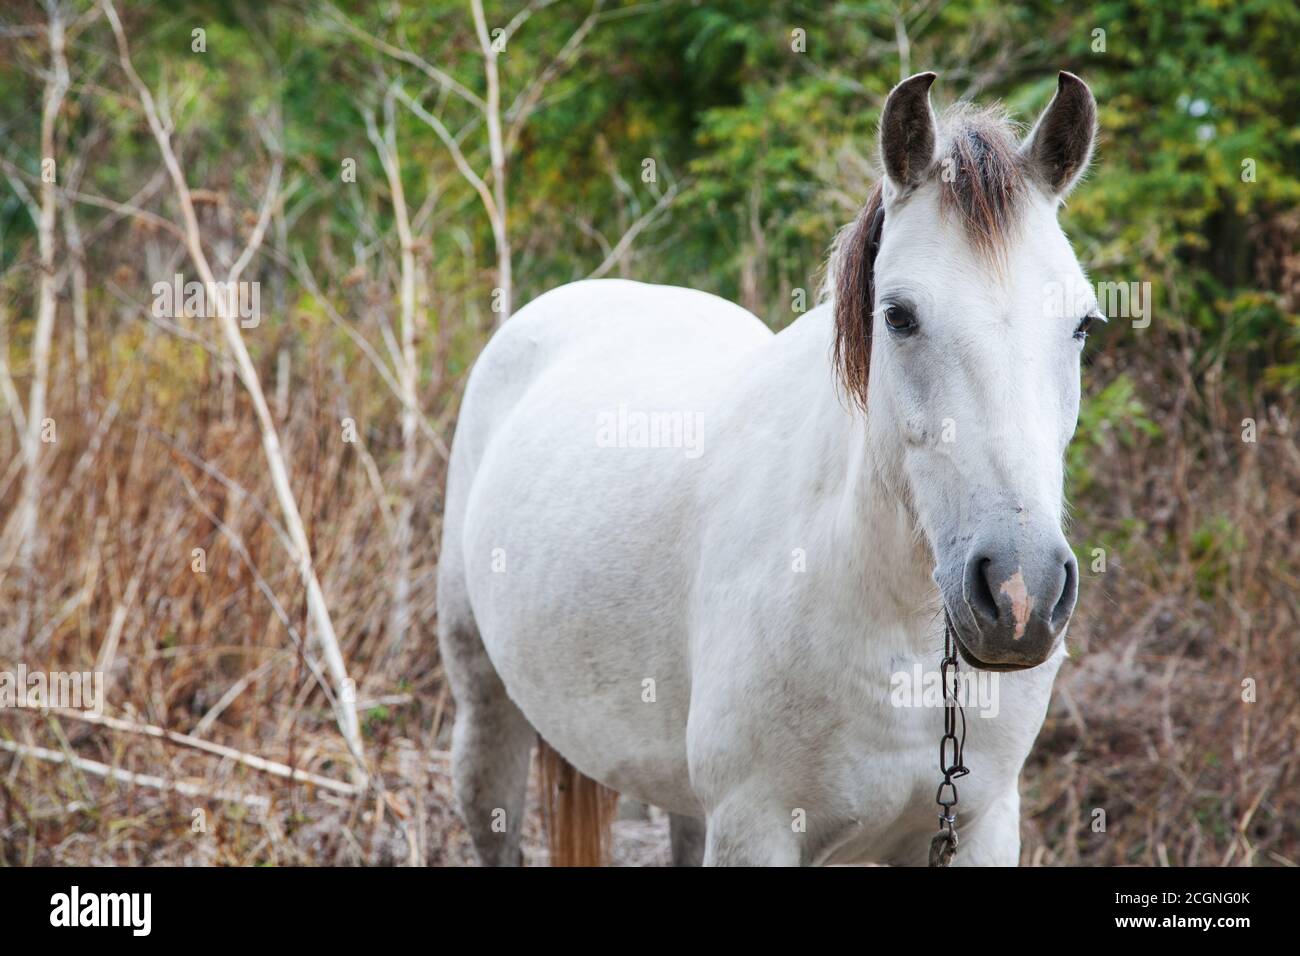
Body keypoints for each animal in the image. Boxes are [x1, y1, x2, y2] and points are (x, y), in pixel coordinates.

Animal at [436, 72, 1097, 868]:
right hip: (485, 713)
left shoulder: (980, 826)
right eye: (899, 316)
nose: (1020, 594)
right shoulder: (756, 828)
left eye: (1082, 323)